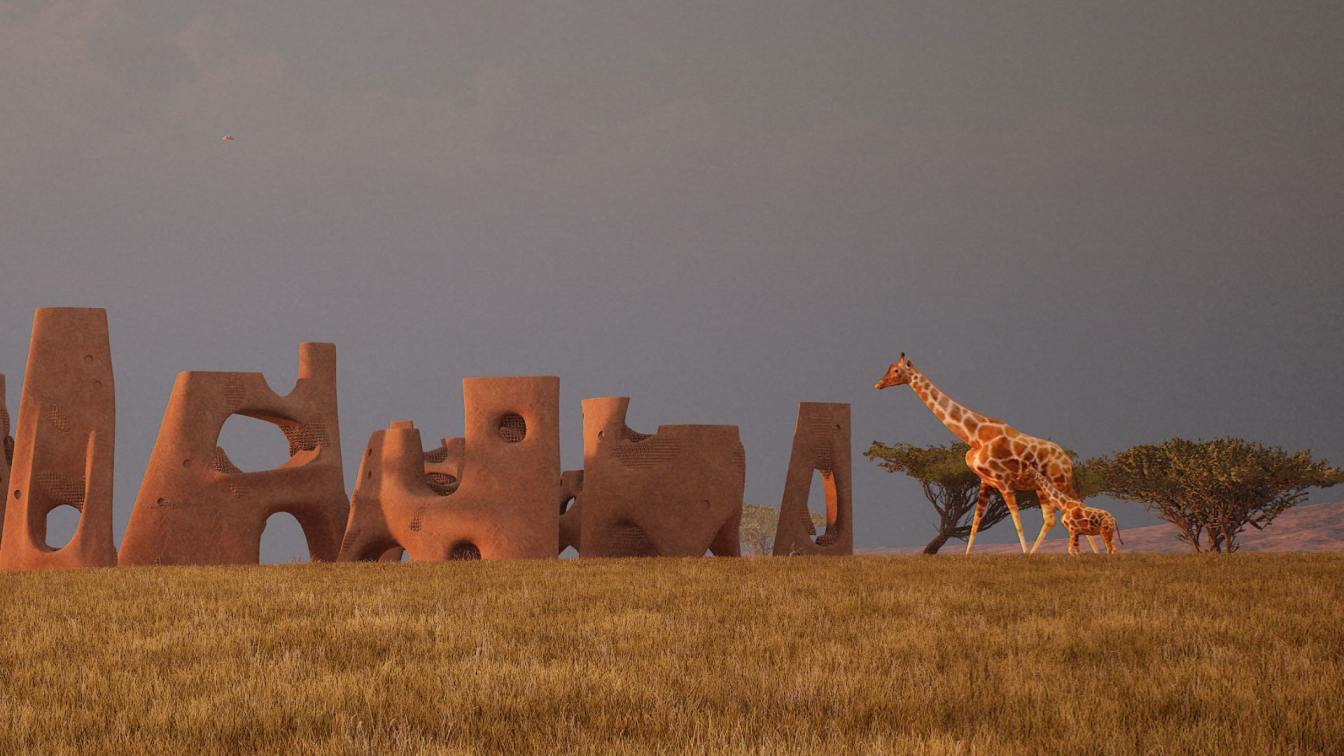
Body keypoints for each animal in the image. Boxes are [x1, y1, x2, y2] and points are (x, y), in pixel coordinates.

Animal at [870, 352, 1080, 554]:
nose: (878, 384)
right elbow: (976, 522)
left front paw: (1024, 554)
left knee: (1075, 503)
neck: (975, 436)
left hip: (1059, 481)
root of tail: (1067, 461)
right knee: (1051, 517)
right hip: (1041, 487)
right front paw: (967, 555)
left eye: (896, 370)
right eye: (889, 368)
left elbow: (1015, 519)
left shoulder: (1004, 482)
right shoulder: (985, 481)